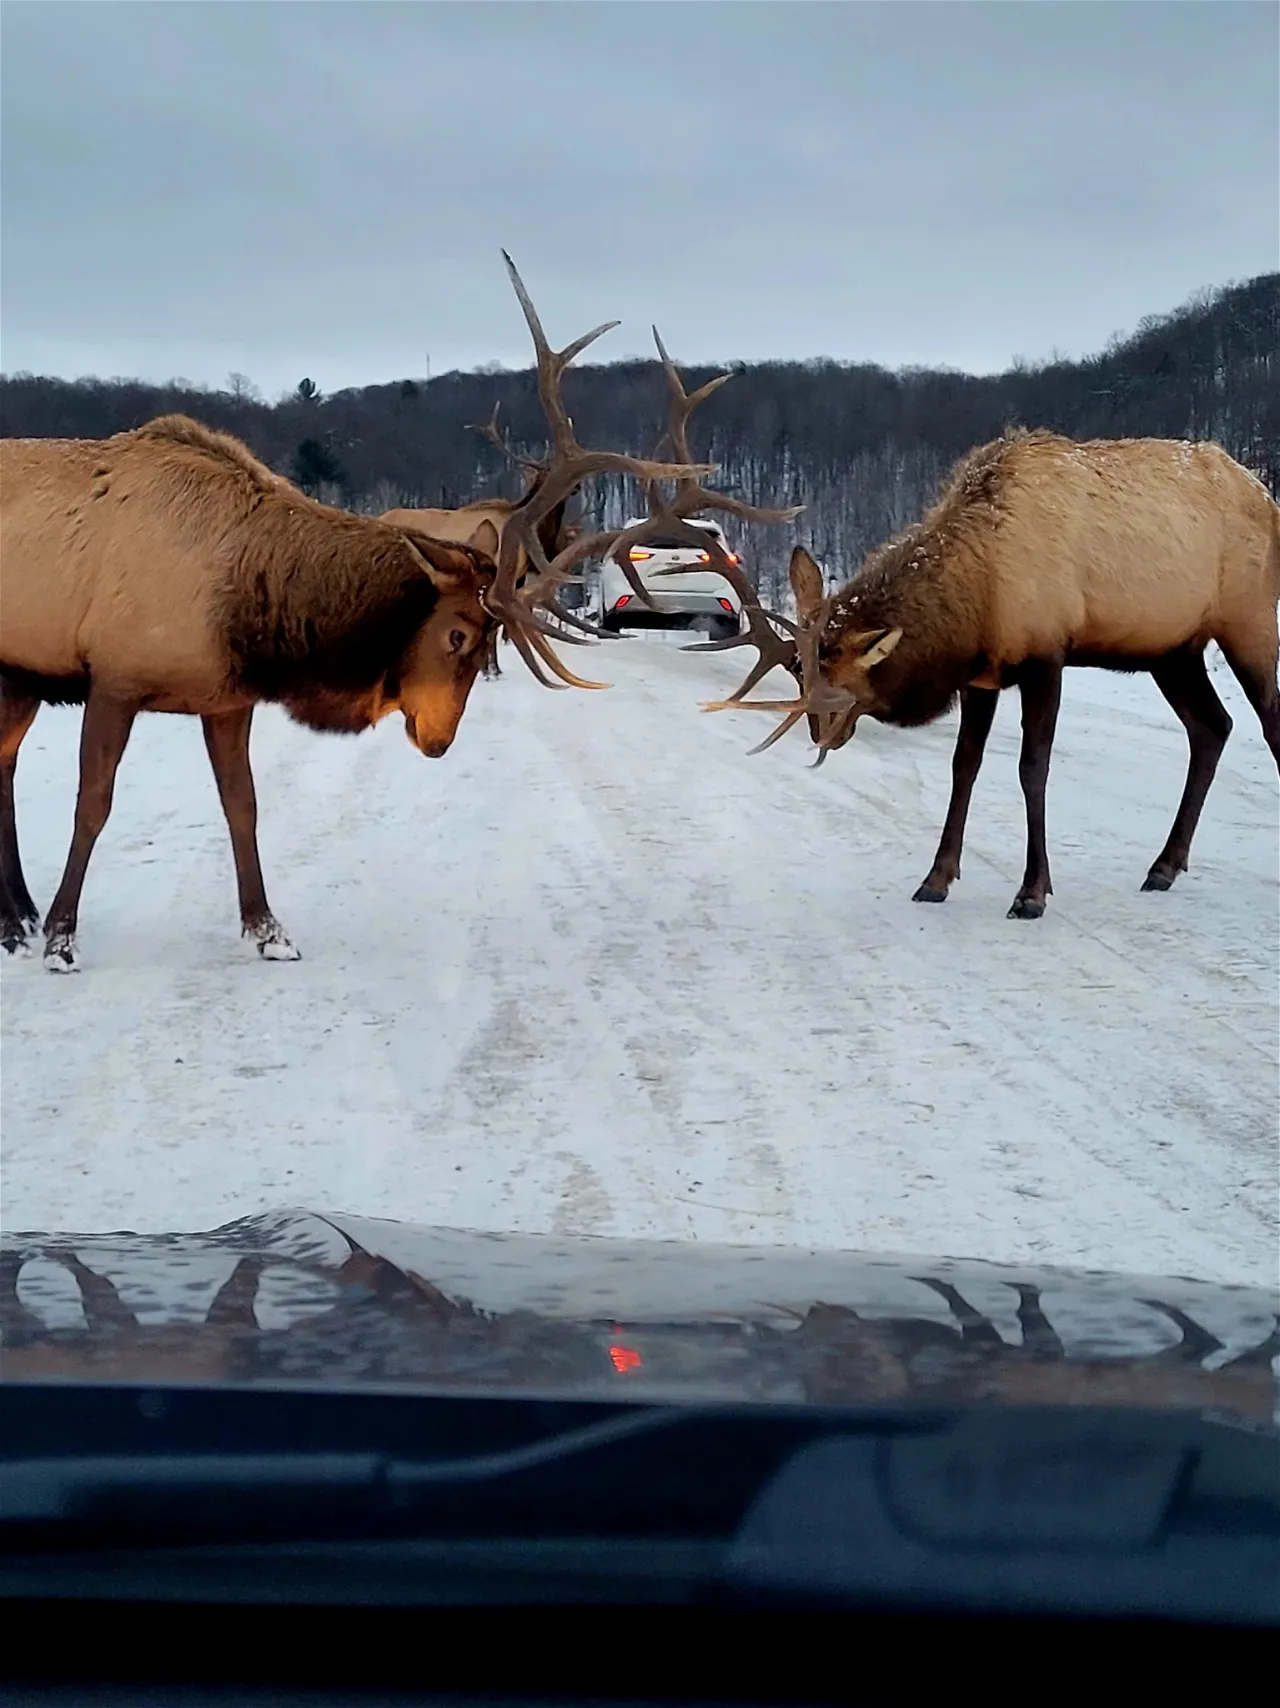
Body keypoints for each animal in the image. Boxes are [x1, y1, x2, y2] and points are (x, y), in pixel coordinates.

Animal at [0, 256, 728, 976]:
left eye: (488, 640)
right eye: (457, 633)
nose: (438, 740)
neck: (250, 607)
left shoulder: (226, 697)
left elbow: (244, 806)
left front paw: (268, 930)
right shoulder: (115, 678)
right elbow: (93, 805)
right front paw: (63, 937)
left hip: (18, 680)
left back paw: (16, 918)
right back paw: (28, 922)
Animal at [700, 427, 1278, 922]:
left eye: (840, 688)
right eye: (801, 673)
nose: (822, 735)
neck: (977, 602)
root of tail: (1268, 498)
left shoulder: (1046, 656)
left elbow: (1032, 769)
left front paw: (1032, 891)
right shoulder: (981, 677)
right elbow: (964, 766)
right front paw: (935, 878)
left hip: (1249, 622)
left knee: (1266, 723)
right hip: (1173, 651)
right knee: (1213, 726)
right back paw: (1164, 865)